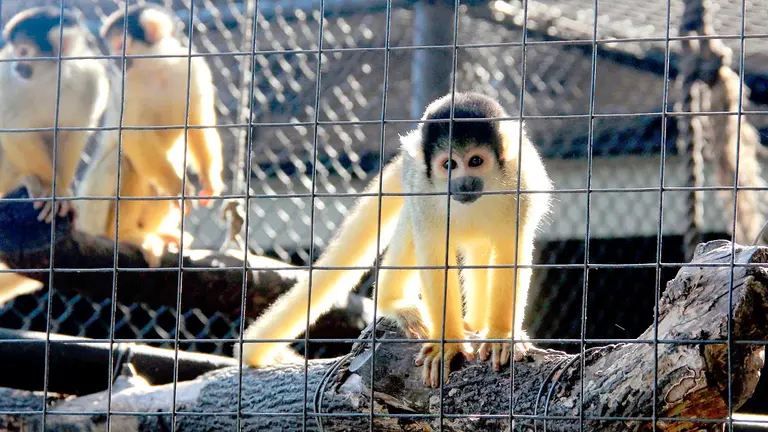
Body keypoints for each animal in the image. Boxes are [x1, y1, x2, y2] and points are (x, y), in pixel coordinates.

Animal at [237, 92, 553, 388]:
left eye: (475, 161)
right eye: (449, 165)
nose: (463, 184)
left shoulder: (522, 183)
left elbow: (511, 253)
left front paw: (501, 335)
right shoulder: (423, 190)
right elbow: (434, 254)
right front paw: (448, 343)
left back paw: (476, 324)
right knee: (413, 228)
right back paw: (395, 300)